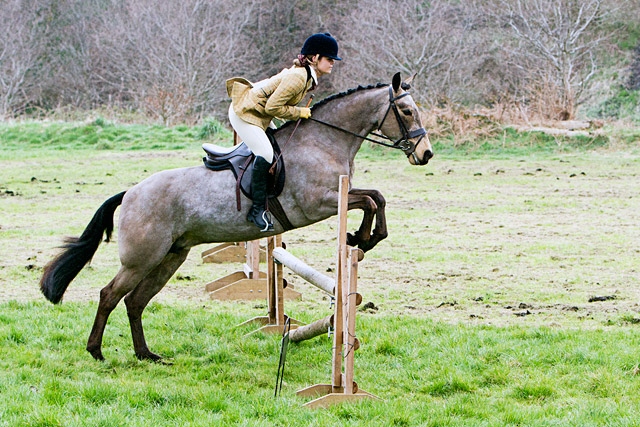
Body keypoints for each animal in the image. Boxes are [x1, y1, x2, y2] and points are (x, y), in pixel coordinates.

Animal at [41, 72, 436, 362]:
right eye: (407, 111)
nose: (426, 154)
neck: (324, 141)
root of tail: (130, 193)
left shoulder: (333, 198)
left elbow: (376, 197)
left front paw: (364, 238)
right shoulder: (318, 203)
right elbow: (369, 200)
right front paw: (361, 238)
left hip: (170, 256)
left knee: (135, 302)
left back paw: (146, 355)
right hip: (142, 258)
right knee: (109, 295)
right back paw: (96, 351)